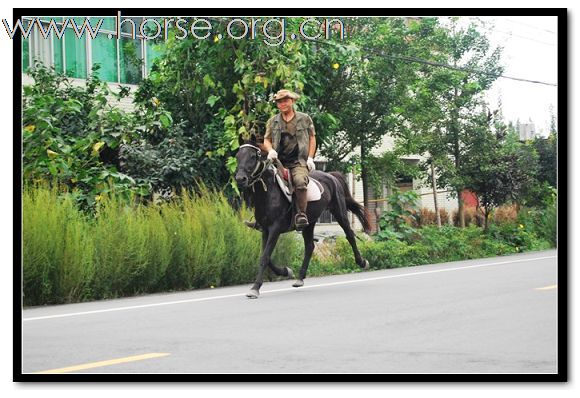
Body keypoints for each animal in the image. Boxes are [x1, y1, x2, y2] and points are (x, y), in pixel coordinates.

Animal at [233, 138, 370, 296]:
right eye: (237, 156)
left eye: (253, 157)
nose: (240, 178)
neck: (269, 192)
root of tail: (331, 176)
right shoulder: (265, 229)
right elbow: (266, 257)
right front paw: (286, 271)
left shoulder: (275, 229)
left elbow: (265, 257)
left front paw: (255, 288)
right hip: (309, 223)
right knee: (310, 246)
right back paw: (299, 278)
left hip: (339, 213)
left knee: (350, 235)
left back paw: (362, 262)